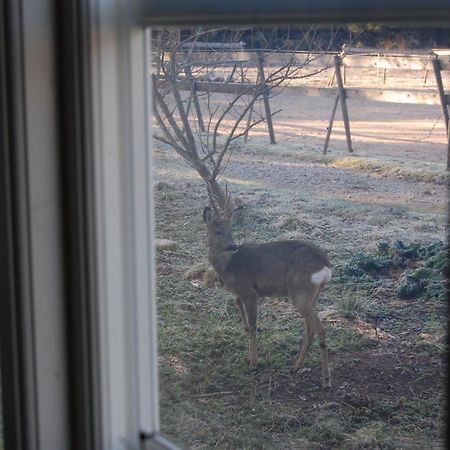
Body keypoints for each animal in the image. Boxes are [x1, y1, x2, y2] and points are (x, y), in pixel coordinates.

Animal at [202, 195, 332, 388]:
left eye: (231, 230)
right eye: (218, 231)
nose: (233, 246)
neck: (229, 267)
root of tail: (326, 265)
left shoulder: (250, 291)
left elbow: (254, 327)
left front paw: (253, 361)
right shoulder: (240, 294)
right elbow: (243, 317)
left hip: (299, 292)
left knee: (320, 329)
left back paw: (325, 380)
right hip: (312, 295)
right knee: (310, 330)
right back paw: (297, 366)